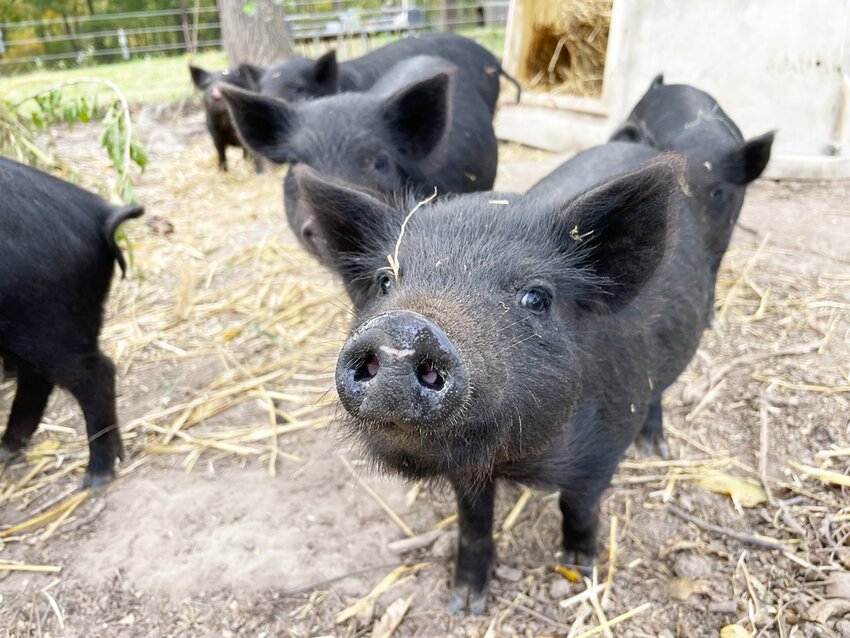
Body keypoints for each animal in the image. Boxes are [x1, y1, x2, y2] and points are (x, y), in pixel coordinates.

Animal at [292, 142, 716, 616]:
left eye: (536, 297)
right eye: (385, 281)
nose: (401, 329)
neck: (517, 461)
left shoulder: (603, 452)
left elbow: (579, 508)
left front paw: (578, 571)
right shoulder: (467, 476)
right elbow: (473, 523)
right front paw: (463, 604)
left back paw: (654, 448)